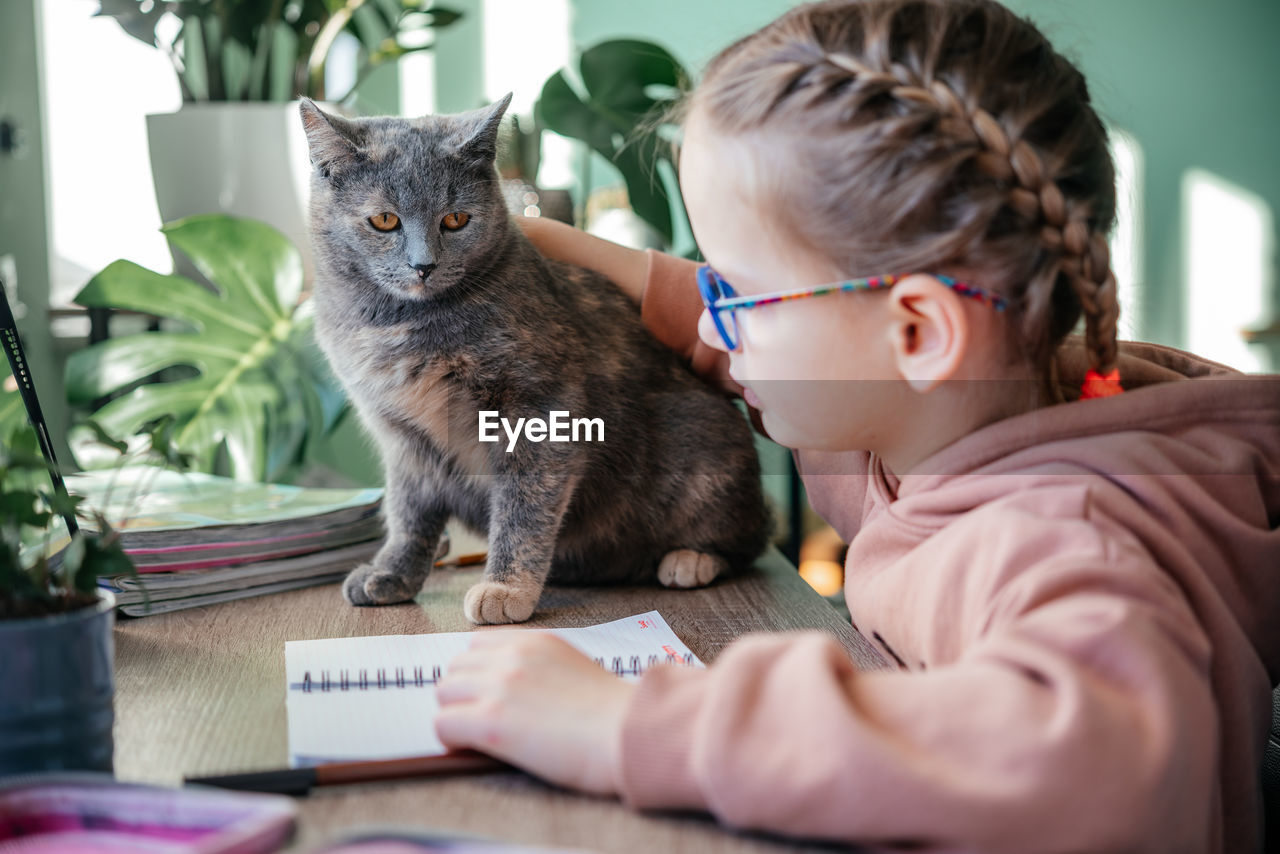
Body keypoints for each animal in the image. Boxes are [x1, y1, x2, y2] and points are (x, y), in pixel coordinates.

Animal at [296, 95, 768, 627]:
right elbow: (407, 513)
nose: (423, 265)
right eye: (384, 221)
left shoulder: (540, 406)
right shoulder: (404, 437)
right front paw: (392, 573)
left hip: (705, 441)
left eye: (455, 220)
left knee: (750, 536)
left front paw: (506, 589)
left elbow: (525, 505)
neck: (398, 327)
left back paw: (689, 560)